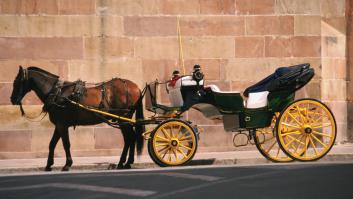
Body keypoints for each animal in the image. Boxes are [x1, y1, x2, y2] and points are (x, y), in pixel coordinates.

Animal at [10, 66, 144, 171]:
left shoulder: (62, 125)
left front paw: (67, 164)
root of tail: (136, 87)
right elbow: (52, 144)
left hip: (123, 119)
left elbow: (66, 144)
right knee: (131, 138)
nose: (12, 99)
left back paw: (123, 162)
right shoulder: (59, 125)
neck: (57, 92)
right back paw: (127, 162)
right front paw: (49, 165)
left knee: (129, 138)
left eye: (17, 81)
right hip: (125, 120)